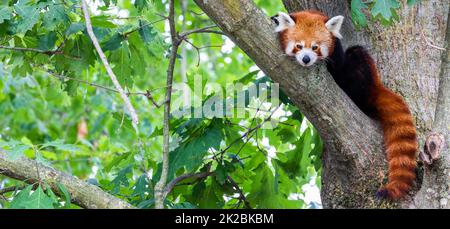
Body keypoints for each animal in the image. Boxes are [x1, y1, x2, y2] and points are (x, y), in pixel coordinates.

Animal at [272, 10, 420, 200]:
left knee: (357, 54)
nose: (306, 59)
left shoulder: (338, 55)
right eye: (298, 46)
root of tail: (375, 87)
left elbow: (339, 64)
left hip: (363, 75)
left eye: (315, 47)